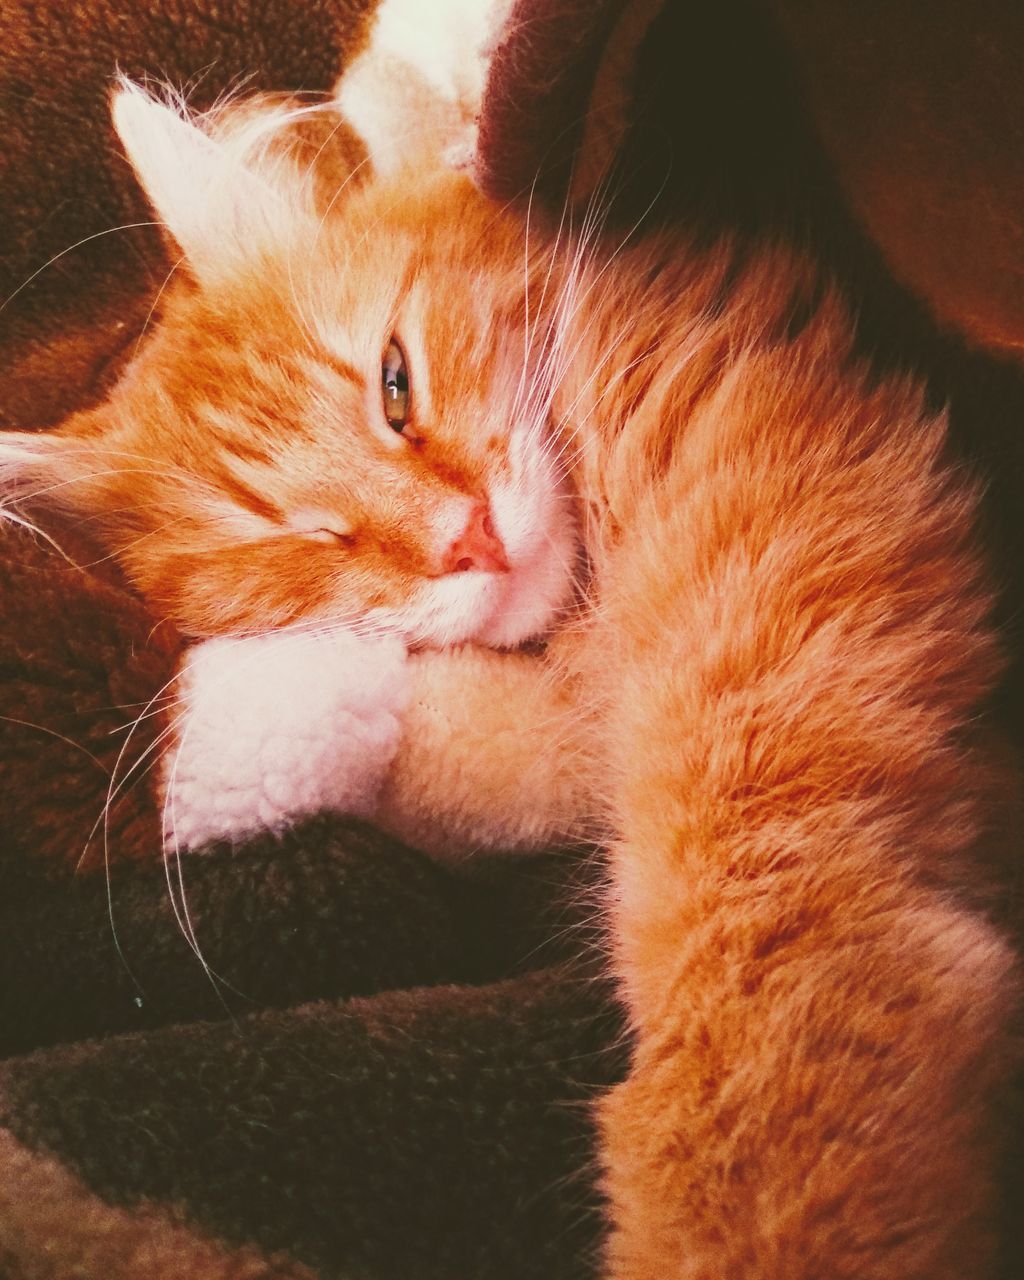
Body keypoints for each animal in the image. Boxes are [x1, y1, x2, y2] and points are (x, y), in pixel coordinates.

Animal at [0, 85, 1013, 1274]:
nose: (466, 538)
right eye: (306, 544)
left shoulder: (759, 631)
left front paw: (745, 1222)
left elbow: (753, 972)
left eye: (395, 386)